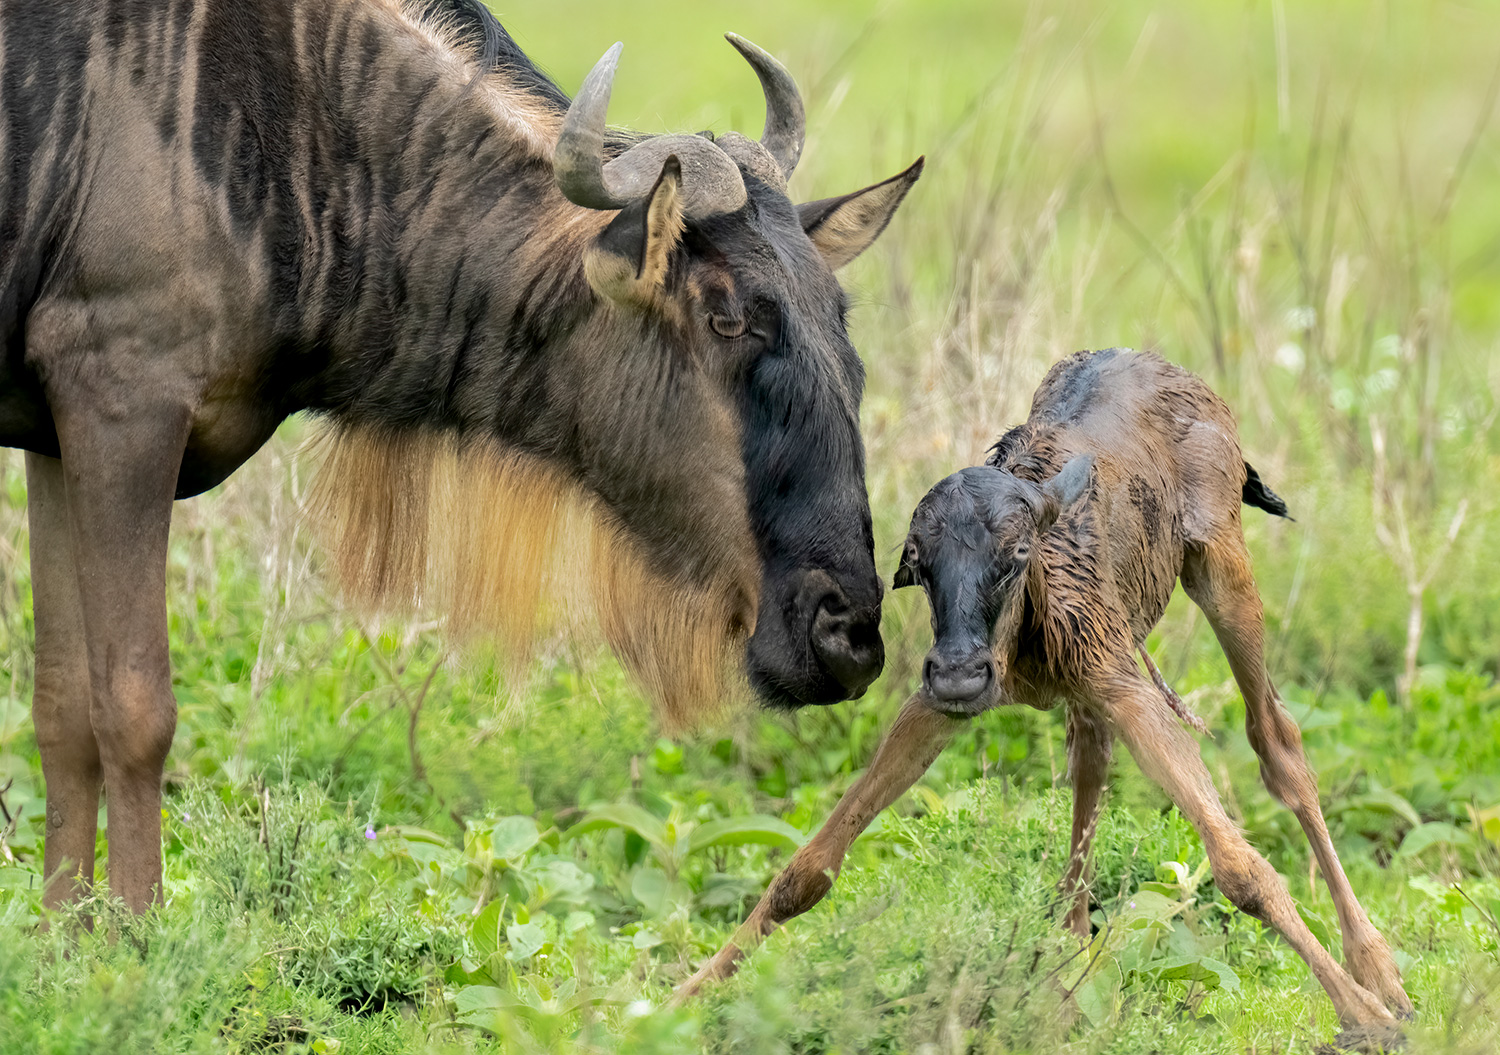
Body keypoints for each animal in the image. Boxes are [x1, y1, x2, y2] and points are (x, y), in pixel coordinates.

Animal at [687, 351, 1410, 1038]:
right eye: (917, 561)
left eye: (1015, 553)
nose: (959, 674)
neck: (1026, 637)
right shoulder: (939, 705)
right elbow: (809, 865)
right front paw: (685, 994)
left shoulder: (1120, 678)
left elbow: (1239, 864)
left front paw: (1365, 1012)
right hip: (1092, 684)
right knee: (1092, 763)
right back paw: (1070, 972)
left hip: (1220, 565)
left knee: (1277, 741)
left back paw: (1378, 968)